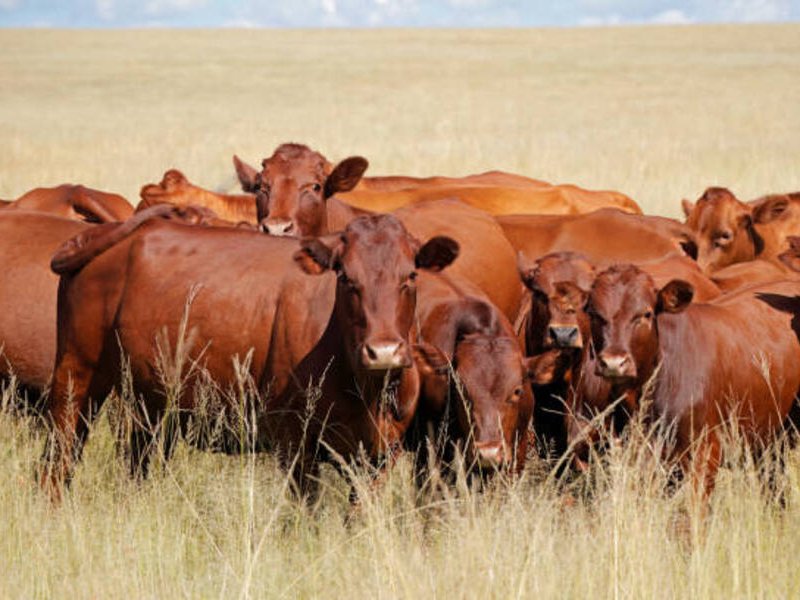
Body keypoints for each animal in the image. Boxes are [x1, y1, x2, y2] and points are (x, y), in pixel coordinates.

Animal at [41, 214, 458, 502]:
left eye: (411, 276)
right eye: (345, 278)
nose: (383, 351)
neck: (363, 388)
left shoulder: (381, 454)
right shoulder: (294, 443)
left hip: (152, 403)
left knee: (136, 465)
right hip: (77, 377)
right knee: (57, 462)